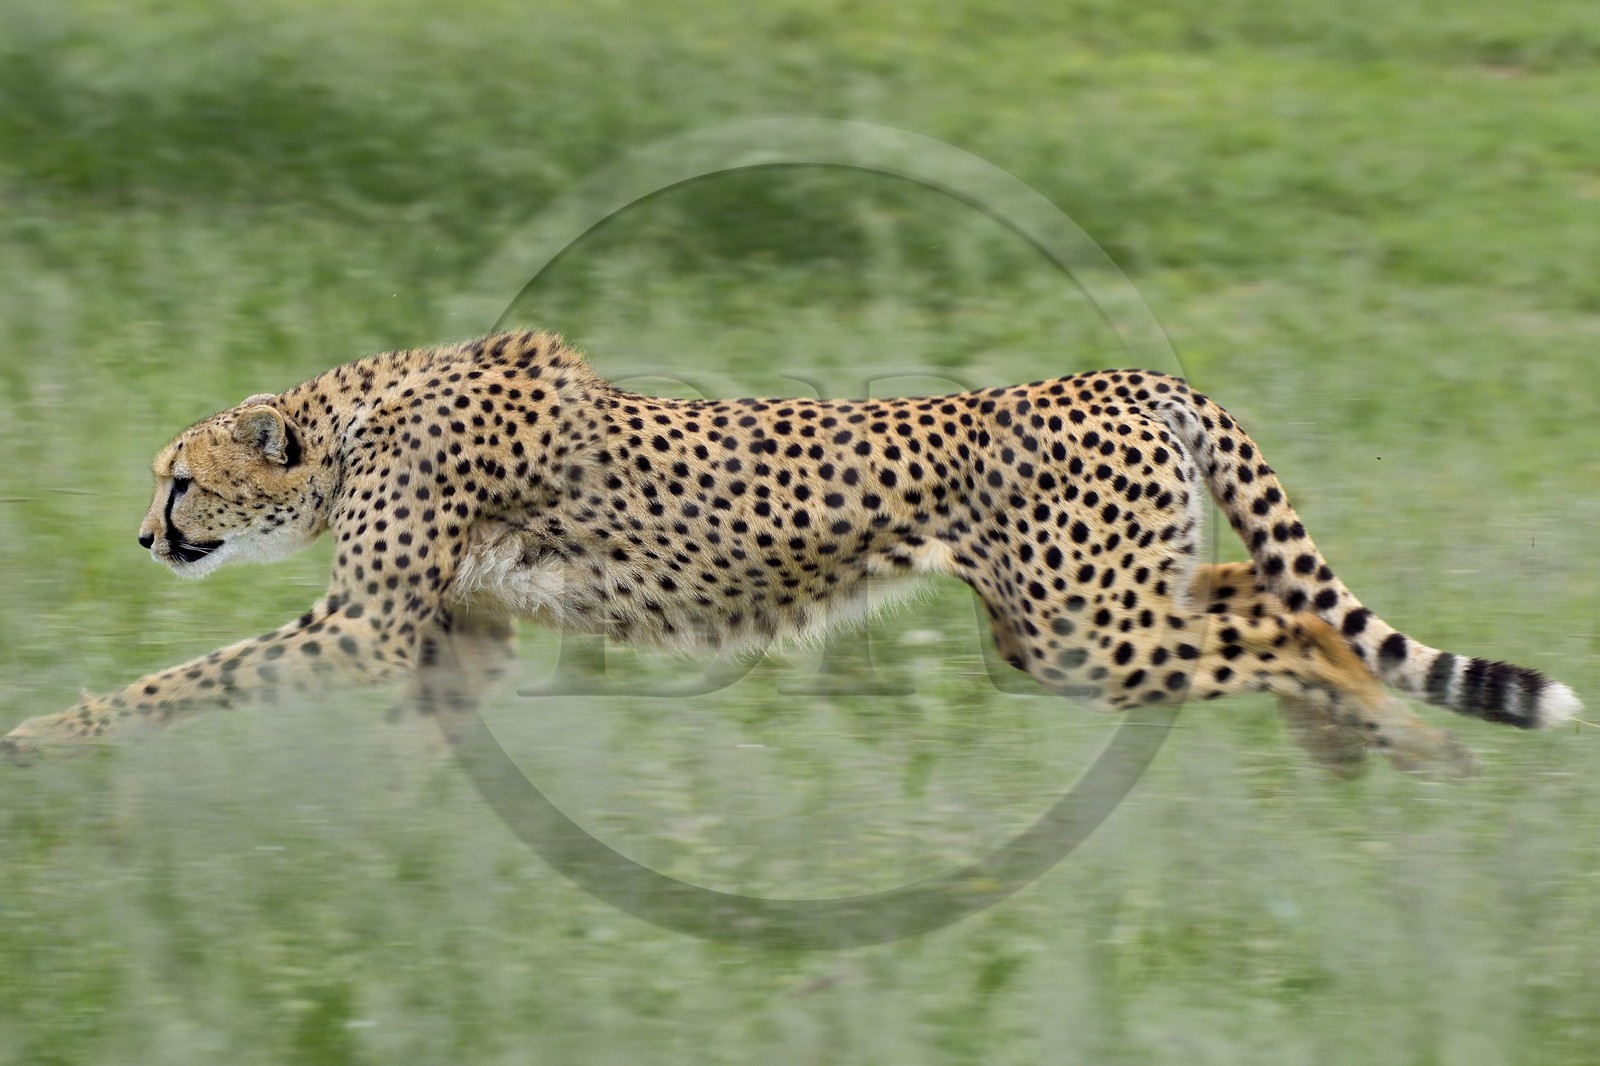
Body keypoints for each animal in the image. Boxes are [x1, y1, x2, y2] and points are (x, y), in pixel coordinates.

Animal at [3, 330, 1580, 778]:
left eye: (180, 479)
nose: (142, 530)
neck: (354, 419)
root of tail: (1122, 373)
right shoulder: (458, 634)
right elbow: (424, 739)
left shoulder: (366, 619)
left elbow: (192, 675)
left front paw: (45, 739)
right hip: (1095, 601)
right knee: (1264, 594)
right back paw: (1357, 745)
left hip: (1081, 625)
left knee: (1289, 628)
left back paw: (1394, 738)